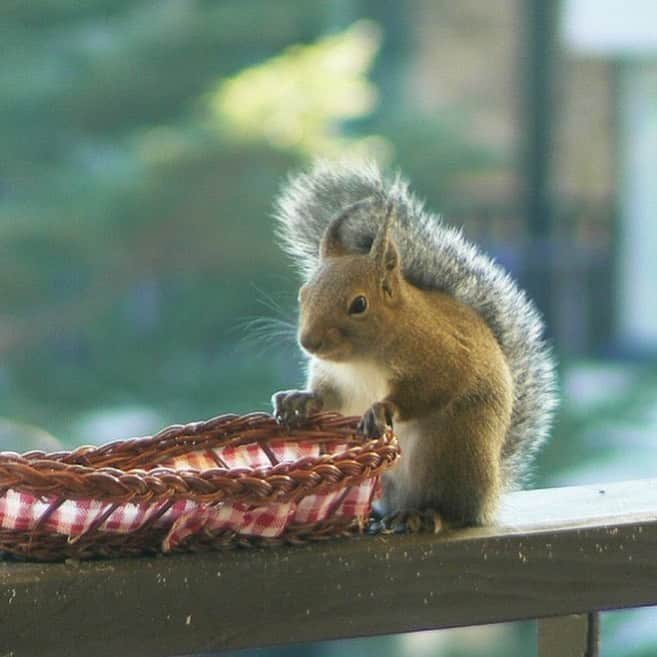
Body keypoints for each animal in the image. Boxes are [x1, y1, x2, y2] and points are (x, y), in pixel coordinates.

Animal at [270, 160, 556, 528]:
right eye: (303, 294)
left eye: (359, 304)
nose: (309, 342)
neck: (362, 359)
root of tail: (489, 497)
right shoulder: (337, 378)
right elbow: (330, 398)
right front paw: (300, 400)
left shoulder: (440, 357)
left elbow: (430, 389)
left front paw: (382, 408)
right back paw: (379, 516)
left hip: (451, 453)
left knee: (451, 509)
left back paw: (425, 515)